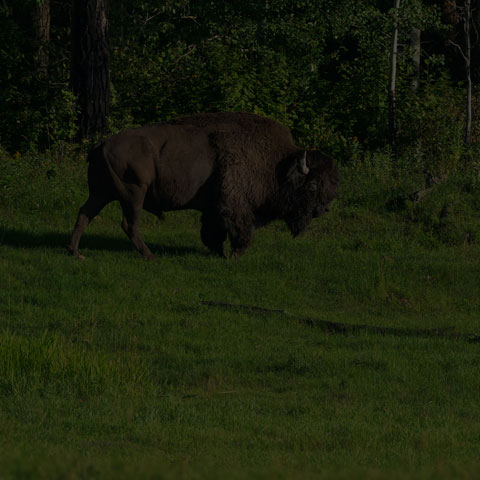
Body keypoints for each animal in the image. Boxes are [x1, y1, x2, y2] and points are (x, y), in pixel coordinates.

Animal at [67, 112, 340, 258]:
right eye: (313, 186)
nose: (324, 209)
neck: (277, 165)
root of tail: (102, 144)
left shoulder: (213, 208)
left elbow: (212, 232)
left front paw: (219, 253)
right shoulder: (234, 206)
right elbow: (239, 230)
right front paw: (234, 255)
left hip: (101, 193)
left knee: (84, 214)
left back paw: (75, 252)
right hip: (133, 193)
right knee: (129, 223)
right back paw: (149, 255)